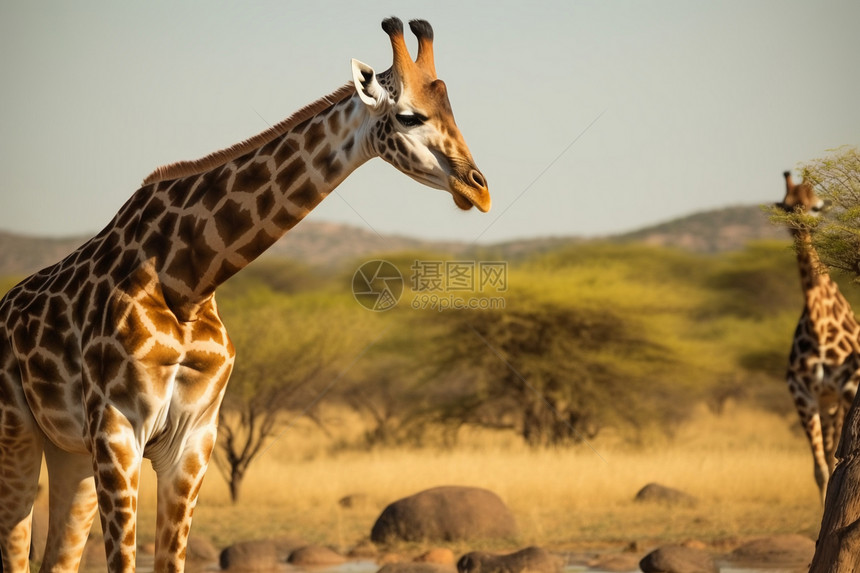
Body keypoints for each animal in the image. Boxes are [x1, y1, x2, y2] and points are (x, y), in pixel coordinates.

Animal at [0, 17, 488, 572]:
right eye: (409, 116)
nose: (479, 188)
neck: (189, 279)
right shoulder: (117, 431)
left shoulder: (192, 439)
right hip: (17, 433)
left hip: (69, 451)